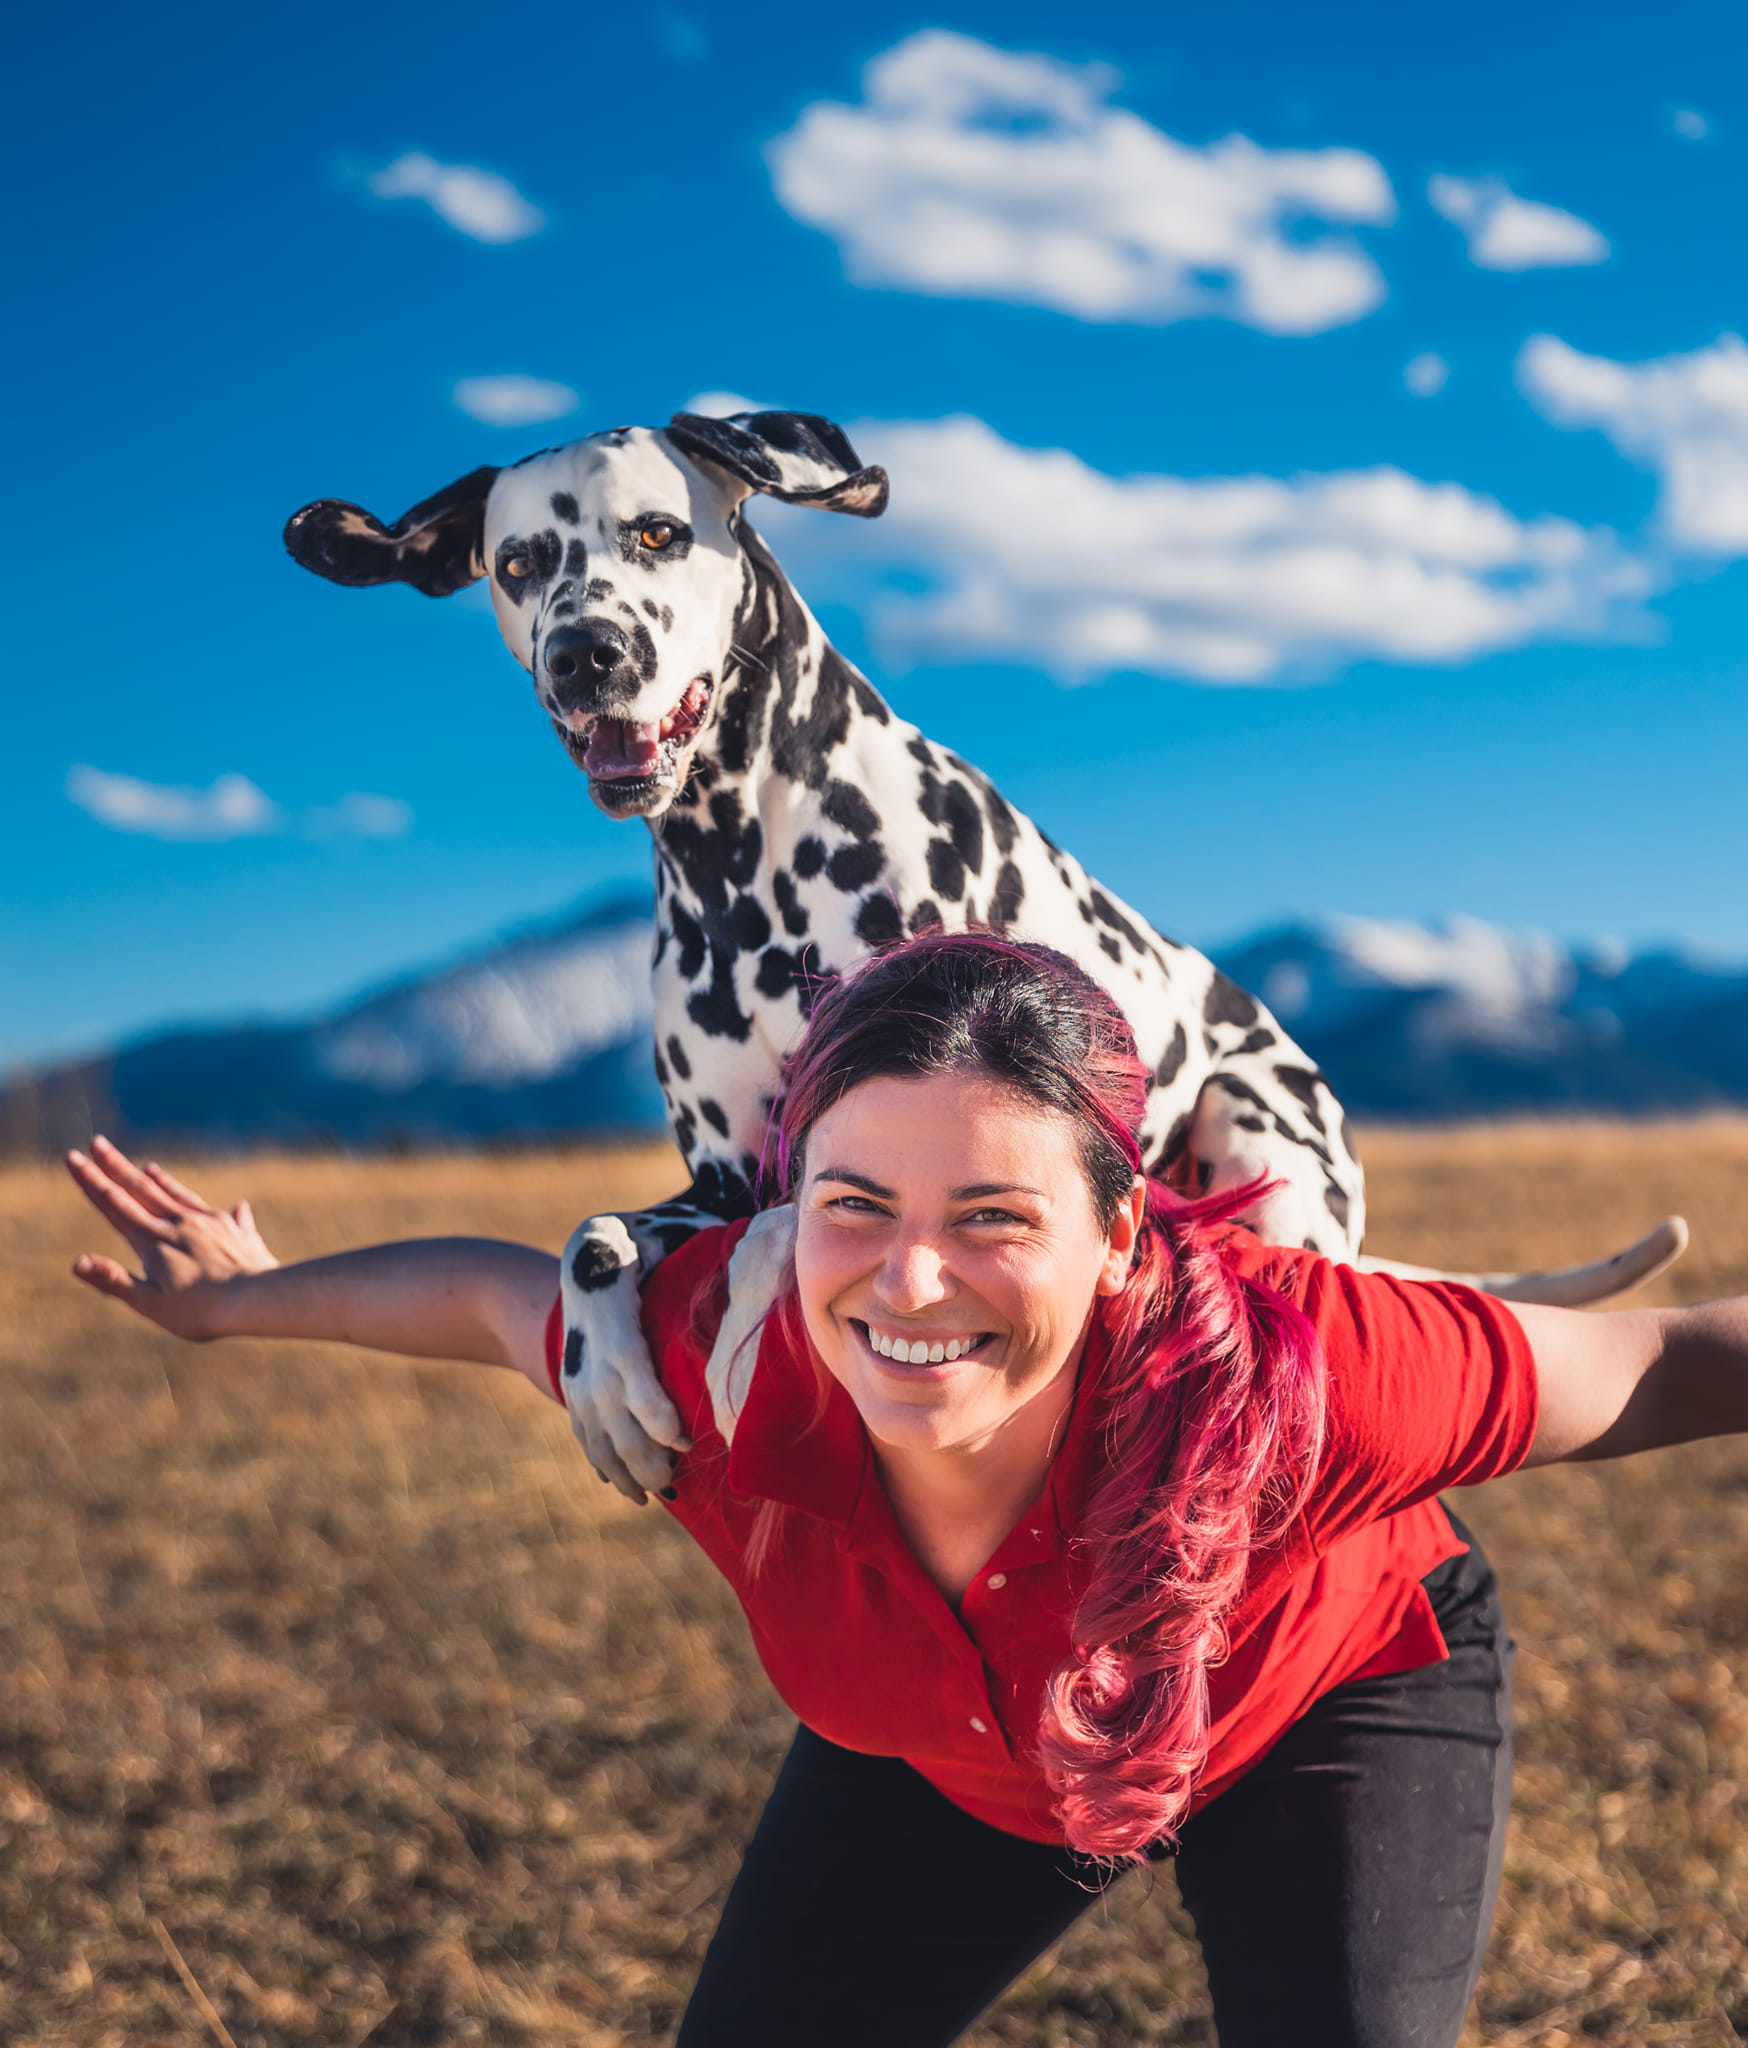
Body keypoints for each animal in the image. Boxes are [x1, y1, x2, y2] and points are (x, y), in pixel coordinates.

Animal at [290, 407, 1694, 1499]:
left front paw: (741, 1322)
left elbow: (784, 1234)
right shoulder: (716, 1173)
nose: (588, 652)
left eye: (654, 532)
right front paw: (609, 1379)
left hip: (1261, 1140)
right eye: (518, 561)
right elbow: (596, 1232)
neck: (739, 861)